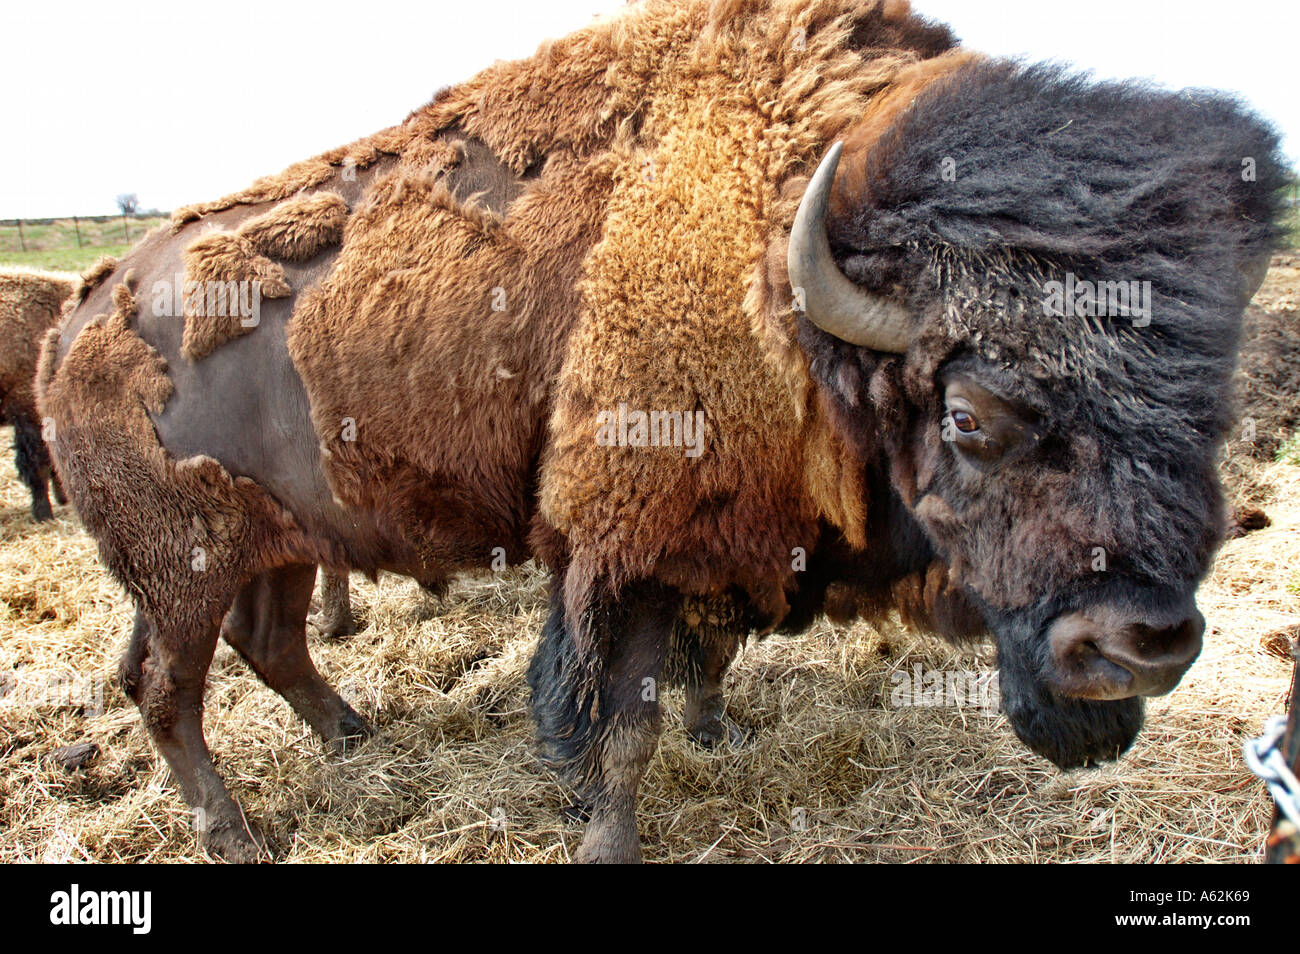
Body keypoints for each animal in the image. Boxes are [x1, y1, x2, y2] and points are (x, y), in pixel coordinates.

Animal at [35, 0, 1284, 868]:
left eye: (1212, 406)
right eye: (970, 417)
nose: (1141, 643)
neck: (792, 296)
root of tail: (78, 312)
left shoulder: (725, 545)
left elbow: (708, 658)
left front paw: (717, 733)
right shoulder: (623, 553)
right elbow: (619, 720)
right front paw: (607, 832)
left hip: (279, 544)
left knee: (271, 644)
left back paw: (353, 737)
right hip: (181, 567)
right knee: (164, 687)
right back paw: (236, 832)